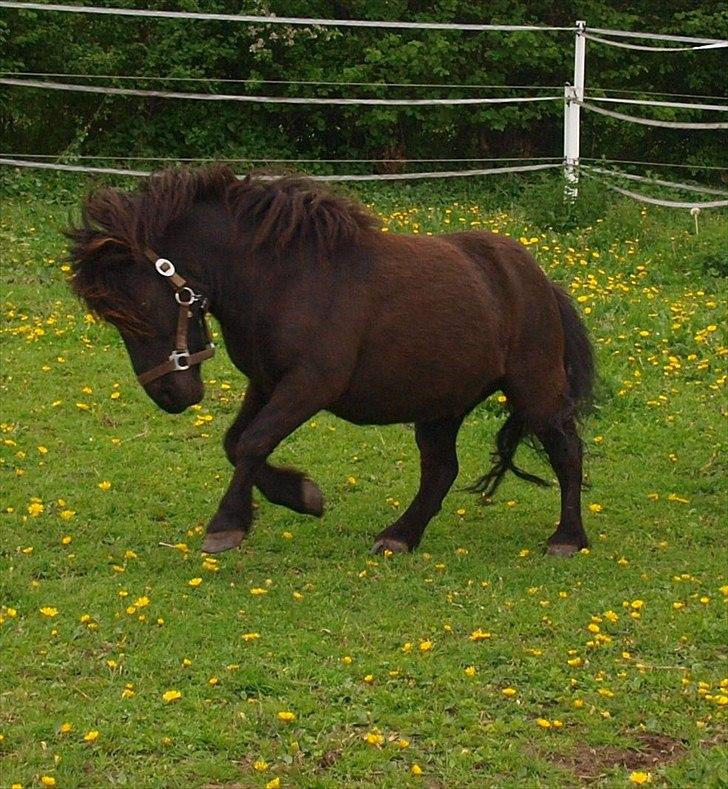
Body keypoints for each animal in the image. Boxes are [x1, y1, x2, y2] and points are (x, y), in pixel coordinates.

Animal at [67, 165, 595, 558]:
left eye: (137, 311)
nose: (169, 396)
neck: (283, 278)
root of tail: (540, 280)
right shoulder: (266, 382)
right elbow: (236, 443)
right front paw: (301, 496)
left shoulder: (311, 384)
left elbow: (253, 441)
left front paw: (227, 525)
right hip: (442, 404)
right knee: (441, 469)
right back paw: (400, 536)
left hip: (534, 387)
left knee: (567, 451)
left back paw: (567, 539)